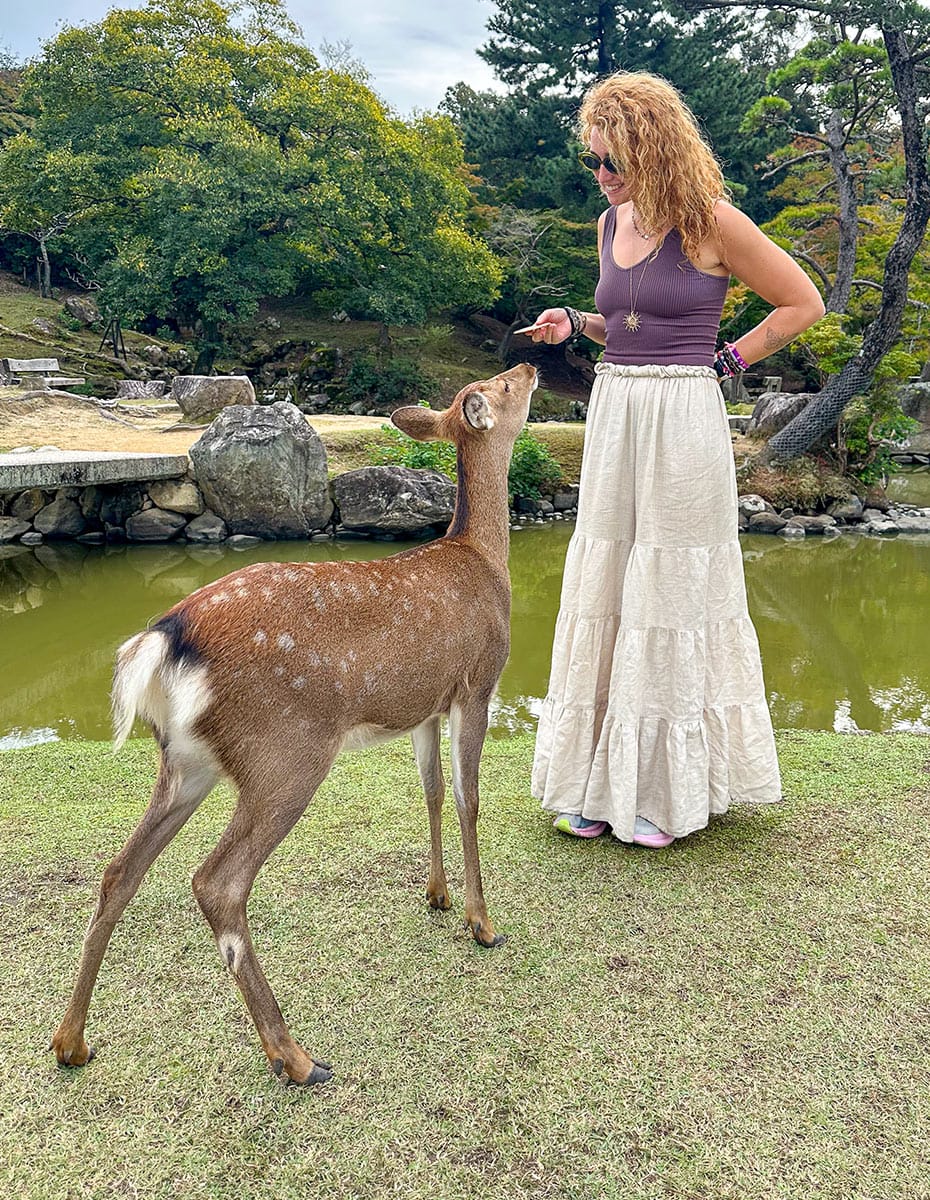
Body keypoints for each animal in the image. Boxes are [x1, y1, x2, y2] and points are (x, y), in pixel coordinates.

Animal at [51, 361, 538, 1087]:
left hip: (185, 761)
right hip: (285, 753)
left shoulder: (421, 705)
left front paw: (437, 895)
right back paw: (296, 1055)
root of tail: (163, 640)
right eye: (503, 388)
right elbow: (467, 797)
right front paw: (482, 923)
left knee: (118, 871)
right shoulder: (477, 682)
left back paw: (71, 1042)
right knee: (216, 881)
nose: (531, 364)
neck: (481, 558)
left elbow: (428, 792)